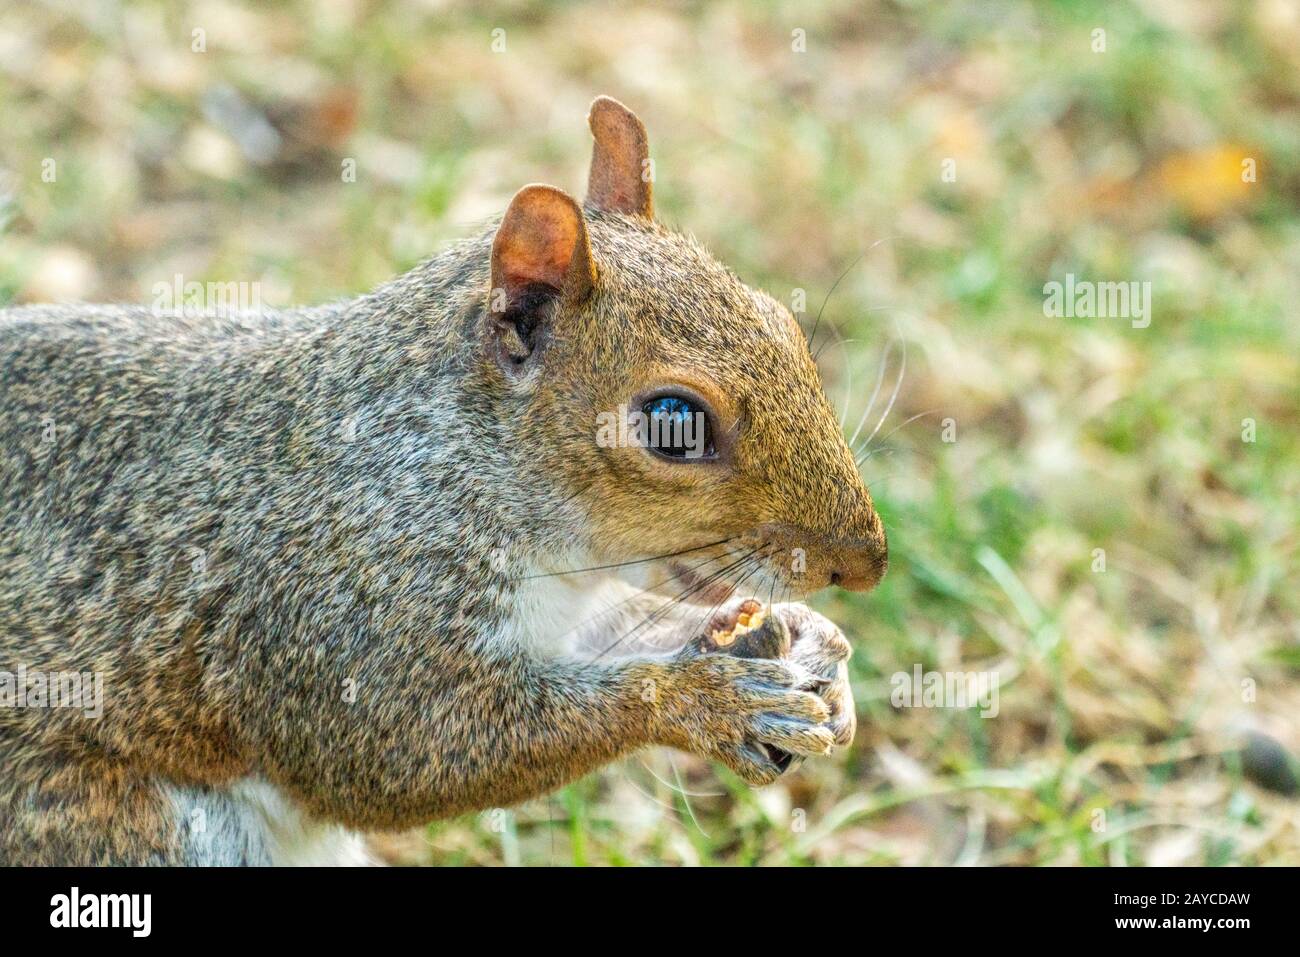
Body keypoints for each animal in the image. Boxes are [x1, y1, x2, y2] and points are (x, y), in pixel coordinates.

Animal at [0, 98, 883, 868]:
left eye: (783, 321)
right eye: (673, 423)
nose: (862, 563)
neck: (460, 462)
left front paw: (807, 643)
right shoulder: (346, 608)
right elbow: (406, 752)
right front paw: (705, 699)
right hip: (105, 819)